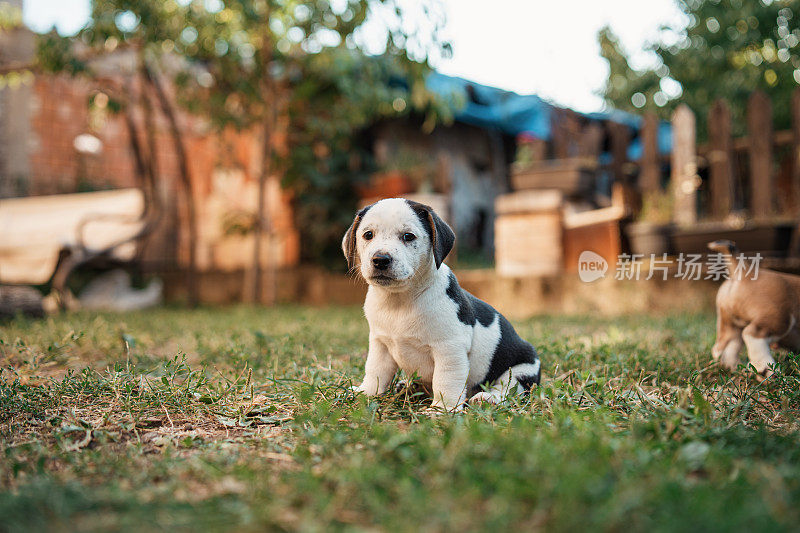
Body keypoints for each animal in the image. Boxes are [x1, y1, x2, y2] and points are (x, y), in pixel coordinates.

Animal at [340, 197, 540, 410]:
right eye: (368, 235)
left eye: (408, 236)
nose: (380, 260)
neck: (400, 299)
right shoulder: (380, 345)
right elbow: (375, 372)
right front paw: (365, 393)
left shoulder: (449, 349)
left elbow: (446, 381)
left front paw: (441, 410)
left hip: (521, 369)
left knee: (507, 389)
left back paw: (487, 398)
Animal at [708, 239, 800, 376]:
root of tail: (746, 272)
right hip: (779, 318)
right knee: (752, 334)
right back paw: (765, 369)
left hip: (730, 324)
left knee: (724, 346)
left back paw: (731, 368)